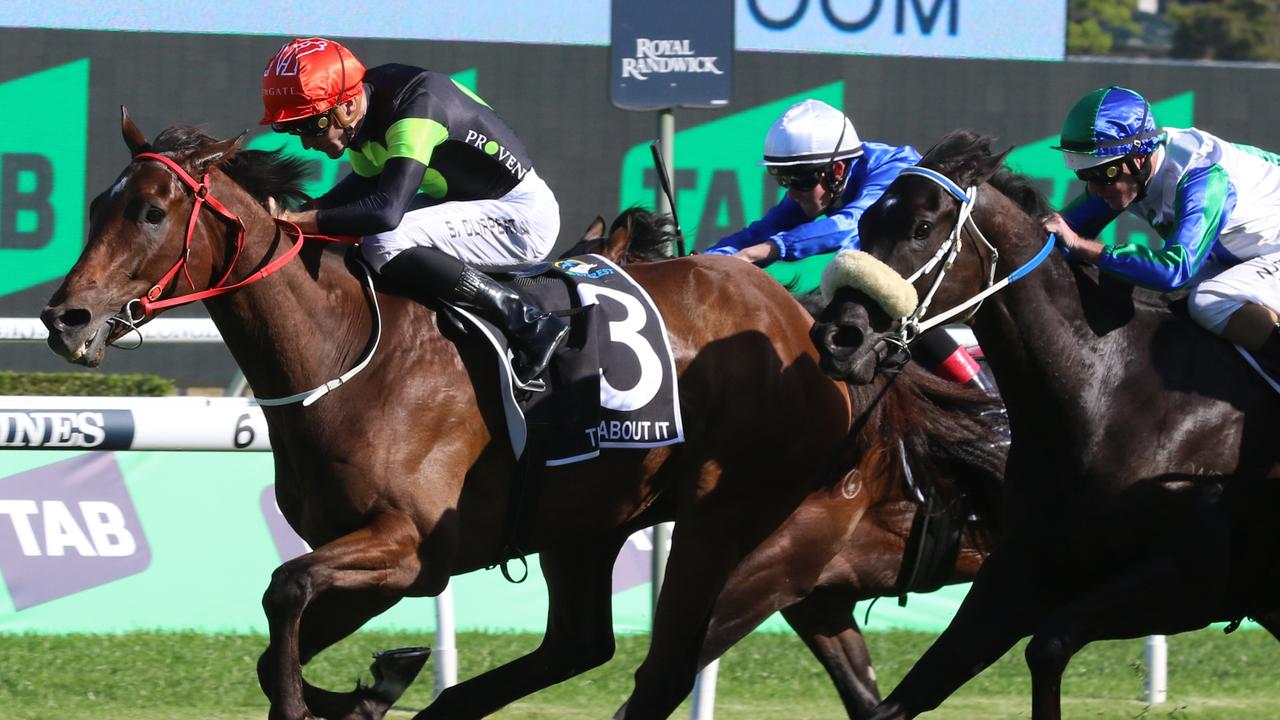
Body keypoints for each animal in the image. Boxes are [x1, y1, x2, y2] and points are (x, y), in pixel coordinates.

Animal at [814, 128, 1280, 717]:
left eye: (921, 227)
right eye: (865, 223)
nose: (836, 337)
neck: (1107, 387)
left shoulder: (1191, 579)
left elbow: (1048, 644)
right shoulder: (1022, 565)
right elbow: (906, 695)